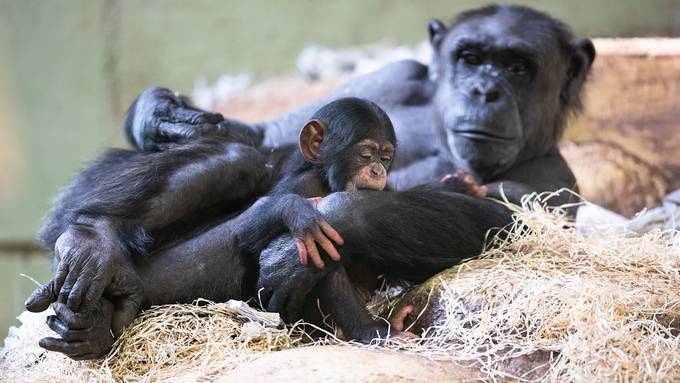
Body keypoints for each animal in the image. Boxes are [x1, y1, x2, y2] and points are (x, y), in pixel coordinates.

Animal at [25, 4, 596, 360]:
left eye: (518, 68)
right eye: (471, 58)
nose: (483, 90)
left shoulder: (555, 181)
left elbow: (501, 217)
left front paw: (310, 241)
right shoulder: (395, 76)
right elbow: (262, 139)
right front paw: (160, 114)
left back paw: (101, 314)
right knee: (239, 157)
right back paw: (91, 242)